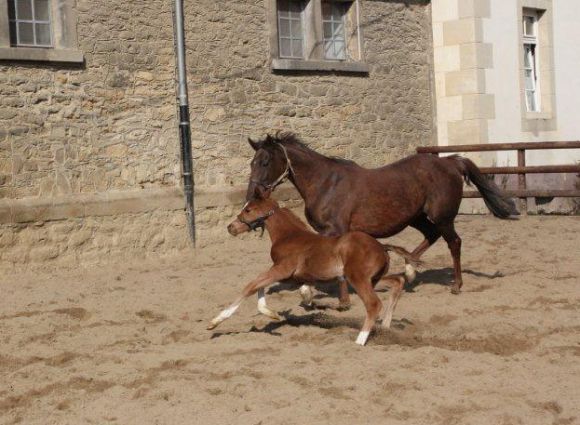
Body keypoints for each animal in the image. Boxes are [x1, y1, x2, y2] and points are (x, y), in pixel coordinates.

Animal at [208, 191, 408, 344]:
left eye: (248, 209)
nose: (231, 227)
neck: (288, 235)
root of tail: (381, 247)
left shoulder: (283, 268)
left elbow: (251, 285)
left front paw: (216, 321)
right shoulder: (286, 274)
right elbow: (261, 285)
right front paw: (272, 314)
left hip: (357, 278)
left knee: (374, 304)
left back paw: (360, 340)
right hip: (372, 278)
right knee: (397, 281)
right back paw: (385, 327)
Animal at [245, 132, 516, 304]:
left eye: (265, 161)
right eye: (252, 163)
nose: (251, 195)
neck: (325, 183)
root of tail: (451, 162)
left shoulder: (336, 231)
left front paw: (342, 302)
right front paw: (308, 293)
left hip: (442, 216)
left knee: (454, 243)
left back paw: (456, 286)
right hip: (416, 217)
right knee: (431, 236)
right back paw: (409, 272)